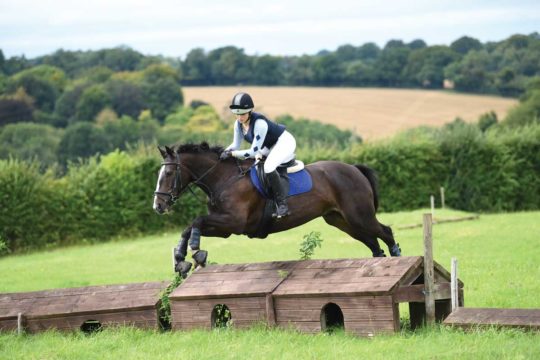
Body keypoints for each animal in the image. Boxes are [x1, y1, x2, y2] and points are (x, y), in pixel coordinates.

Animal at [154, 142, 398, 278]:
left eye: (168, 174)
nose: (158, 206)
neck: (225, 179)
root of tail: (354, 169)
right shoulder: (225, 228)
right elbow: (189, 227)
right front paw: (181, 258)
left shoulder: (234, 222)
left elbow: (196, 221)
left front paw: (196, 251)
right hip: (341, 220)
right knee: (373, 242)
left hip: (360, 216)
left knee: (385, 232)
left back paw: (396, 258)